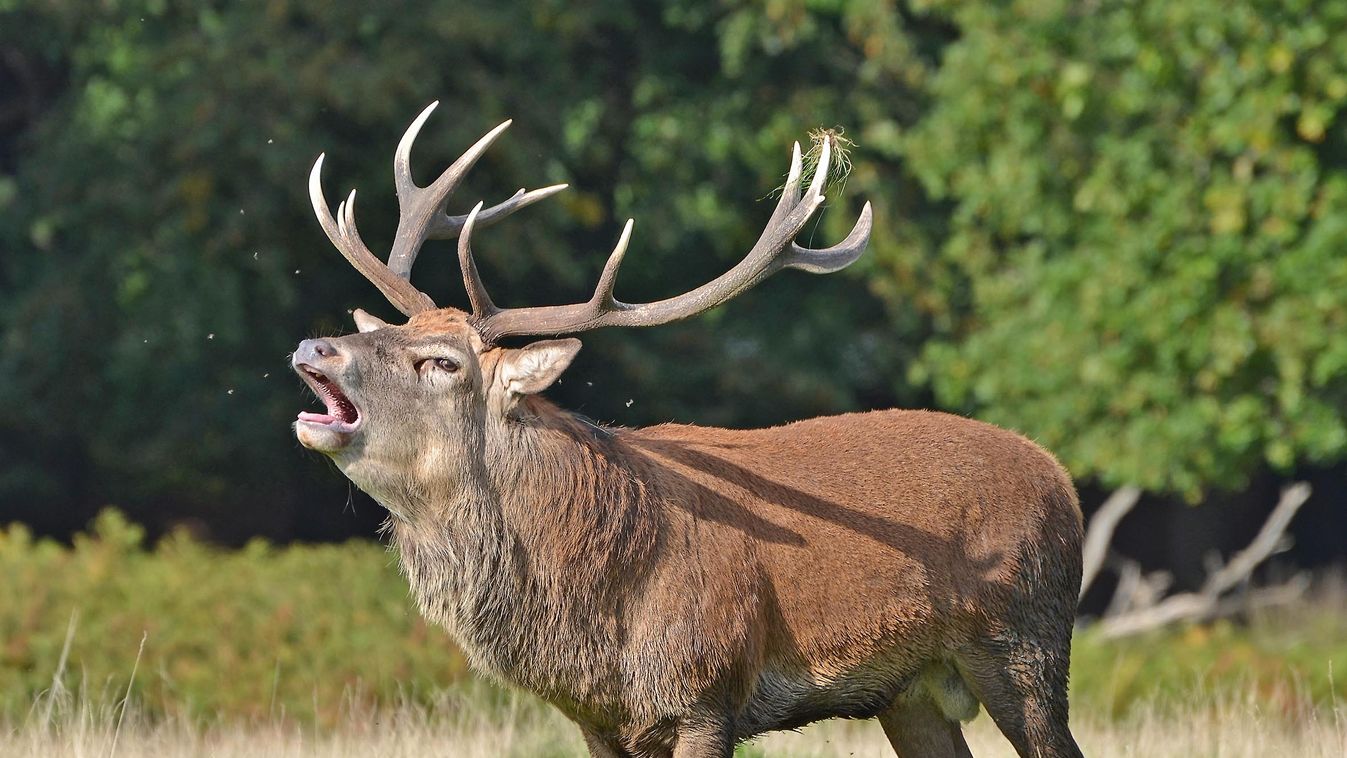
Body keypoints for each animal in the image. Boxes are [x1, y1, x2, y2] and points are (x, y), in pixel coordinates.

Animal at [292, 103, 1082, 758]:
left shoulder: (705, 692)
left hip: (1027, 644)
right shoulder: (599, 721)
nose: (315, 346)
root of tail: (1061, 479)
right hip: (912, 691)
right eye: (392, 330)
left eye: (441, 361)